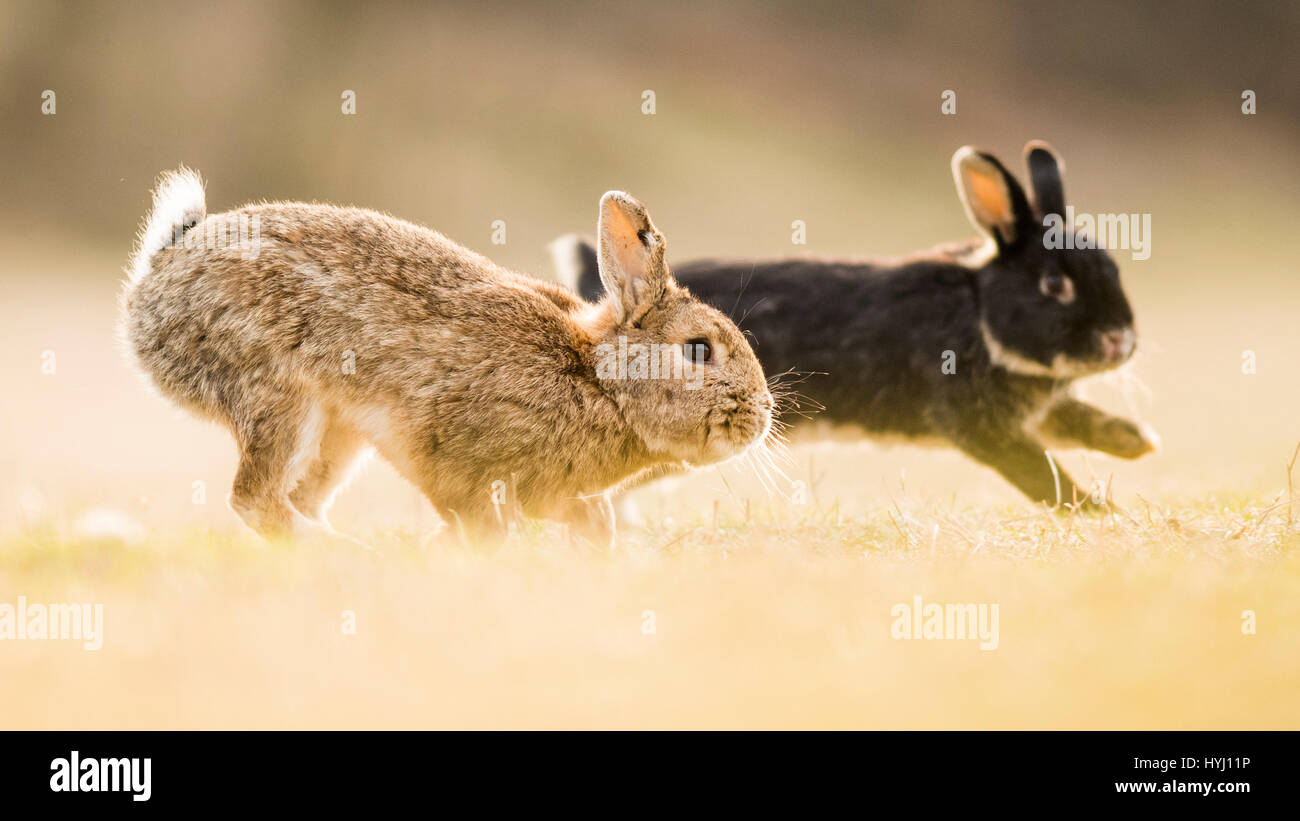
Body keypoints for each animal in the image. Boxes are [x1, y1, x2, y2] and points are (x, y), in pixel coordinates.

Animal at [120, 170, 774, 546]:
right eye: (698, 350)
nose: (763, 413)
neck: (598, 381)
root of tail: (157, 280)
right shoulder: (455, 458)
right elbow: (476, 518)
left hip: (338, 435)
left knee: (296, 498)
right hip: (281, 397)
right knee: (255, 499)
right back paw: (349, 556)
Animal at [552, 142, 1156, 510]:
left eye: (1111, 268)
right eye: (1055, 285)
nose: (1121, 341)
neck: (981, 310)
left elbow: (1071, 421)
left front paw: (1137, 443)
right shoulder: (979, 423)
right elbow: (1042, 472)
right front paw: (1101, 512)